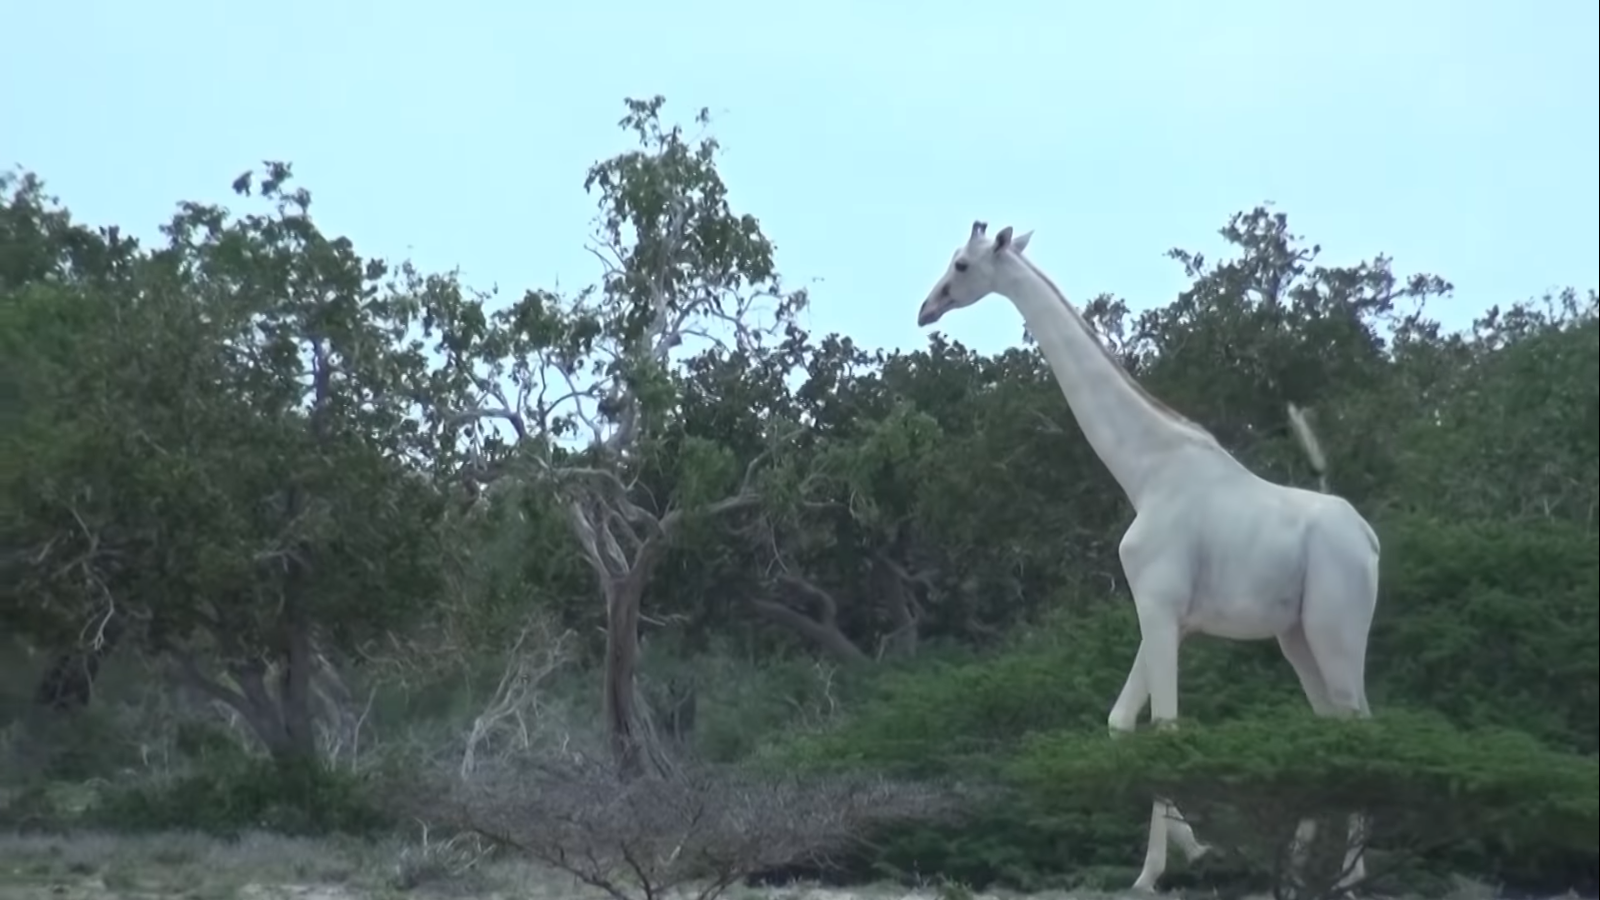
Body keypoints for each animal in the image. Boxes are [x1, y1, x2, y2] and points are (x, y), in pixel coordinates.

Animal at [916, 221, 1379, 893]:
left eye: (961, 264)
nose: (926, 309)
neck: (1144, 471)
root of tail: (1370, 540)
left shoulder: (1159, 606)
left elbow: (1164, 727)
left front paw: (1151, 872)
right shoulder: (1167, 618)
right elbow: (1120, 721)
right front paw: (1197, 848)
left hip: (1335, 627)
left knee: (1362, 724)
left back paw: (1348, 877)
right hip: (1296, 637)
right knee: (1332, 725)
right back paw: (1303, 869)